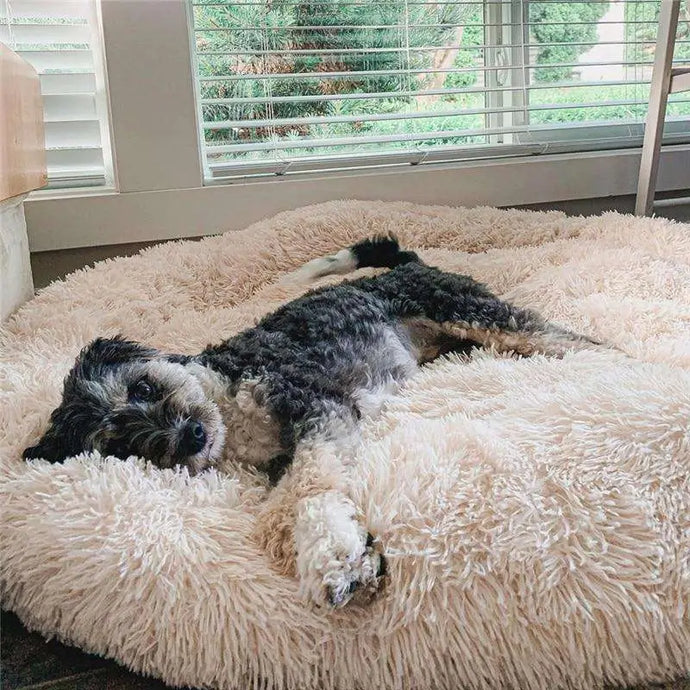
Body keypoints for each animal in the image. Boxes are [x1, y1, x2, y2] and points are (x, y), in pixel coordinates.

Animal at [22, 235, 600, 600]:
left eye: (143, 386)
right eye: (118, 443)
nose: (190, 436)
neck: (227, 398)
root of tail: (405, 263)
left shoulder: (316, 408)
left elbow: (310, 489)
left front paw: (337, 559)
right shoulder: (288, 448)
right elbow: (285, 500)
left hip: (467, 309)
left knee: (561, 337)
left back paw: (603, 363)